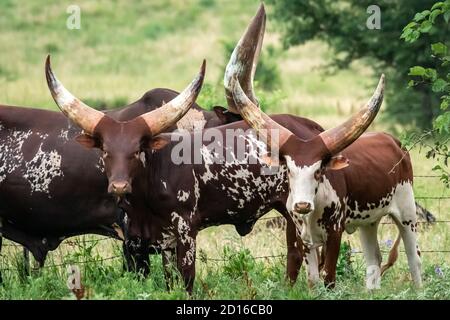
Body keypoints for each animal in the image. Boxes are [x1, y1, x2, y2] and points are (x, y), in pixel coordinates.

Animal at [230, 73, 424, 290]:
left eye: (318, 171)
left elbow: (328, 276)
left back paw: (418, 288)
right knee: (374, 259)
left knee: (414, 258)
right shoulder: (303, 236)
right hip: (369, 221)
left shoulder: (335, 232)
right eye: (288, 170)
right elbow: (313, 279)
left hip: (407, 211)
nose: (302, 205)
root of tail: (395, 143)